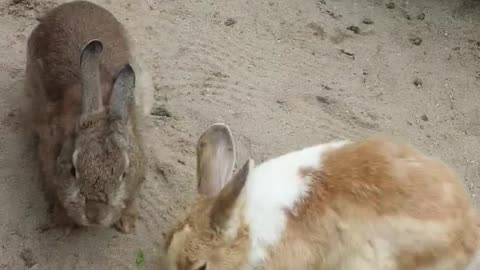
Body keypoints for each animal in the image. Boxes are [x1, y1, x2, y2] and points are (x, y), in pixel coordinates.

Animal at [24, 0, 146, 233]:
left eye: (123, 173)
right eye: (73, 170)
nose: (95, 214)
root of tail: (75, 4)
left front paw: (127, 223)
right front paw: (64, 223)